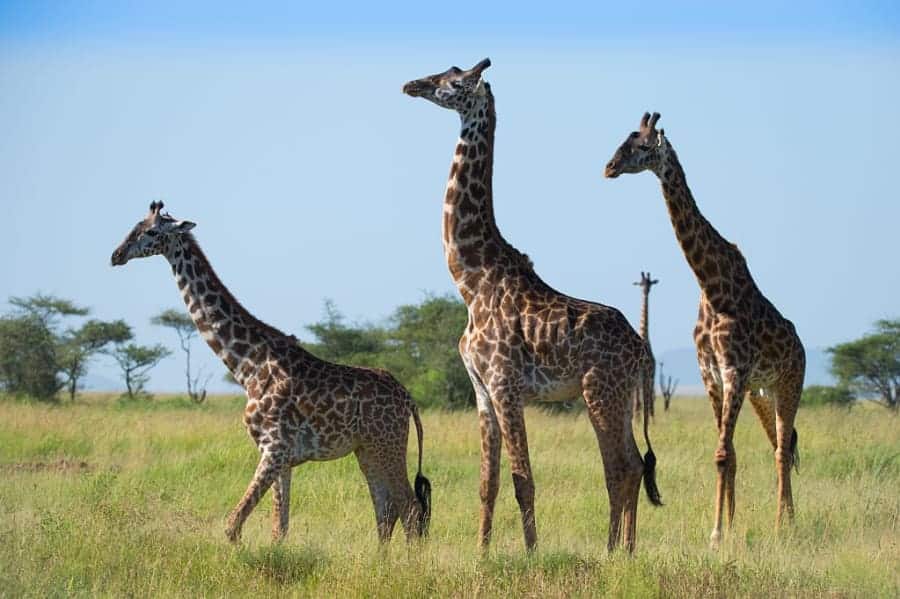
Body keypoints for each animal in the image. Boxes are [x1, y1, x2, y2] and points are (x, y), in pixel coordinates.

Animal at [110, 204, 434, 548]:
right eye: (135, 225)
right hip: (368, 449)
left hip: (388, 444)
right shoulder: (282, 456)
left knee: (410, 509)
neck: (246, 366)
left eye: (151, 231)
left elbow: (234, 524)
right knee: (386, 511)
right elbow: (279, 527)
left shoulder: (274, 449)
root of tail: (408, 398)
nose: (116, 255)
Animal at [402, 58, 660, 556]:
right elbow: (488, 482)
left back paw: (612, 551)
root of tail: (642, 352)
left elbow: (523, 479)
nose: (412, 84)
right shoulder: (482, 390)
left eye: (454, 81)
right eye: (444, 70)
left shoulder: (506, 386)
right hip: (616, 397)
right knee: (635, 464)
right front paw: (481, 553)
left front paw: (530, 553)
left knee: (620, 467)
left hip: (601, 392)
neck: (471, 282)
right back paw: (627, 549)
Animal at [604, 113, 808, 548]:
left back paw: (782, 526)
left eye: (642, 146)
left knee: (782, 449)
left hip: (789, 384)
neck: (712, 286)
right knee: (779, 444)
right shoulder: (712, 375)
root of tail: (800, 346)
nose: (608, 168)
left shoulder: (734, 372)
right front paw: (727, 527)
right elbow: (728, 454)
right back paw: (788, 519)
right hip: (762, 393)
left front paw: (716, 535)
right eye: (623, 140)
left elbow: (721, 454)